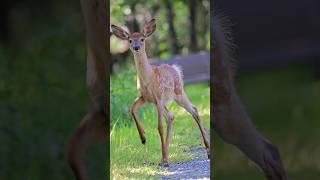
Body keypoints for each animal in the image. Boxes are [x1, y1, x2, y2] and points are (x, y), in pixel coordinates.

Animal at [110, 19, 210, 166]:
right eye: (130, 40)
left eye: (142, 39)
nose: (136, 47)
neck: (149, 78)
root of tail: (175, 69)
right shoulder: (145, 97)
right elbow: (132, 109)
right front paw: (143, 138)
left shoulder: (157, 98)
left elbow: (159, 127)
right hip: (165, 101)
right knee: (171, 116)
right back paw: (165, 156)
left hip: (178, 93)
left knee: (194, 110)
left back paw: (206, 151)